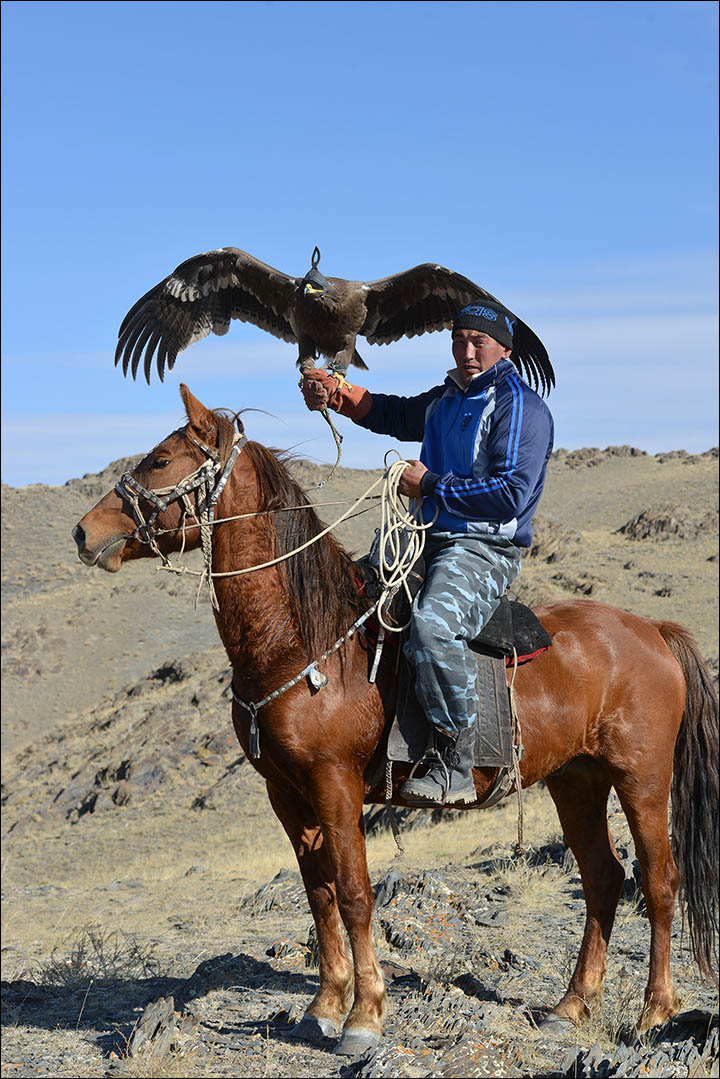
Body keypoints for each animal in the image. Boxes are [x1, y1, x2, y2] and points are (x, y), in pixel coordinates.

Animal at [74, 386, 720, 1053]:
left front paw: (364, 1017)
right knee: (602, 879)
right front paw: (324, 1005)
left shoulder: (335, 784)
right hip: (578, 781)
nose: (83, 532)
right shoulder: (288, 794)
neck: (305, 639)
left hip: (642, 779)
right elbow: (319, 895)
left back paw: (654, 1012)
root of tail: (653, 632)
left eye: (160, 459)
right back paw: (571, 1006)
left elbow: (356, 894)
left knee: (659, 881)